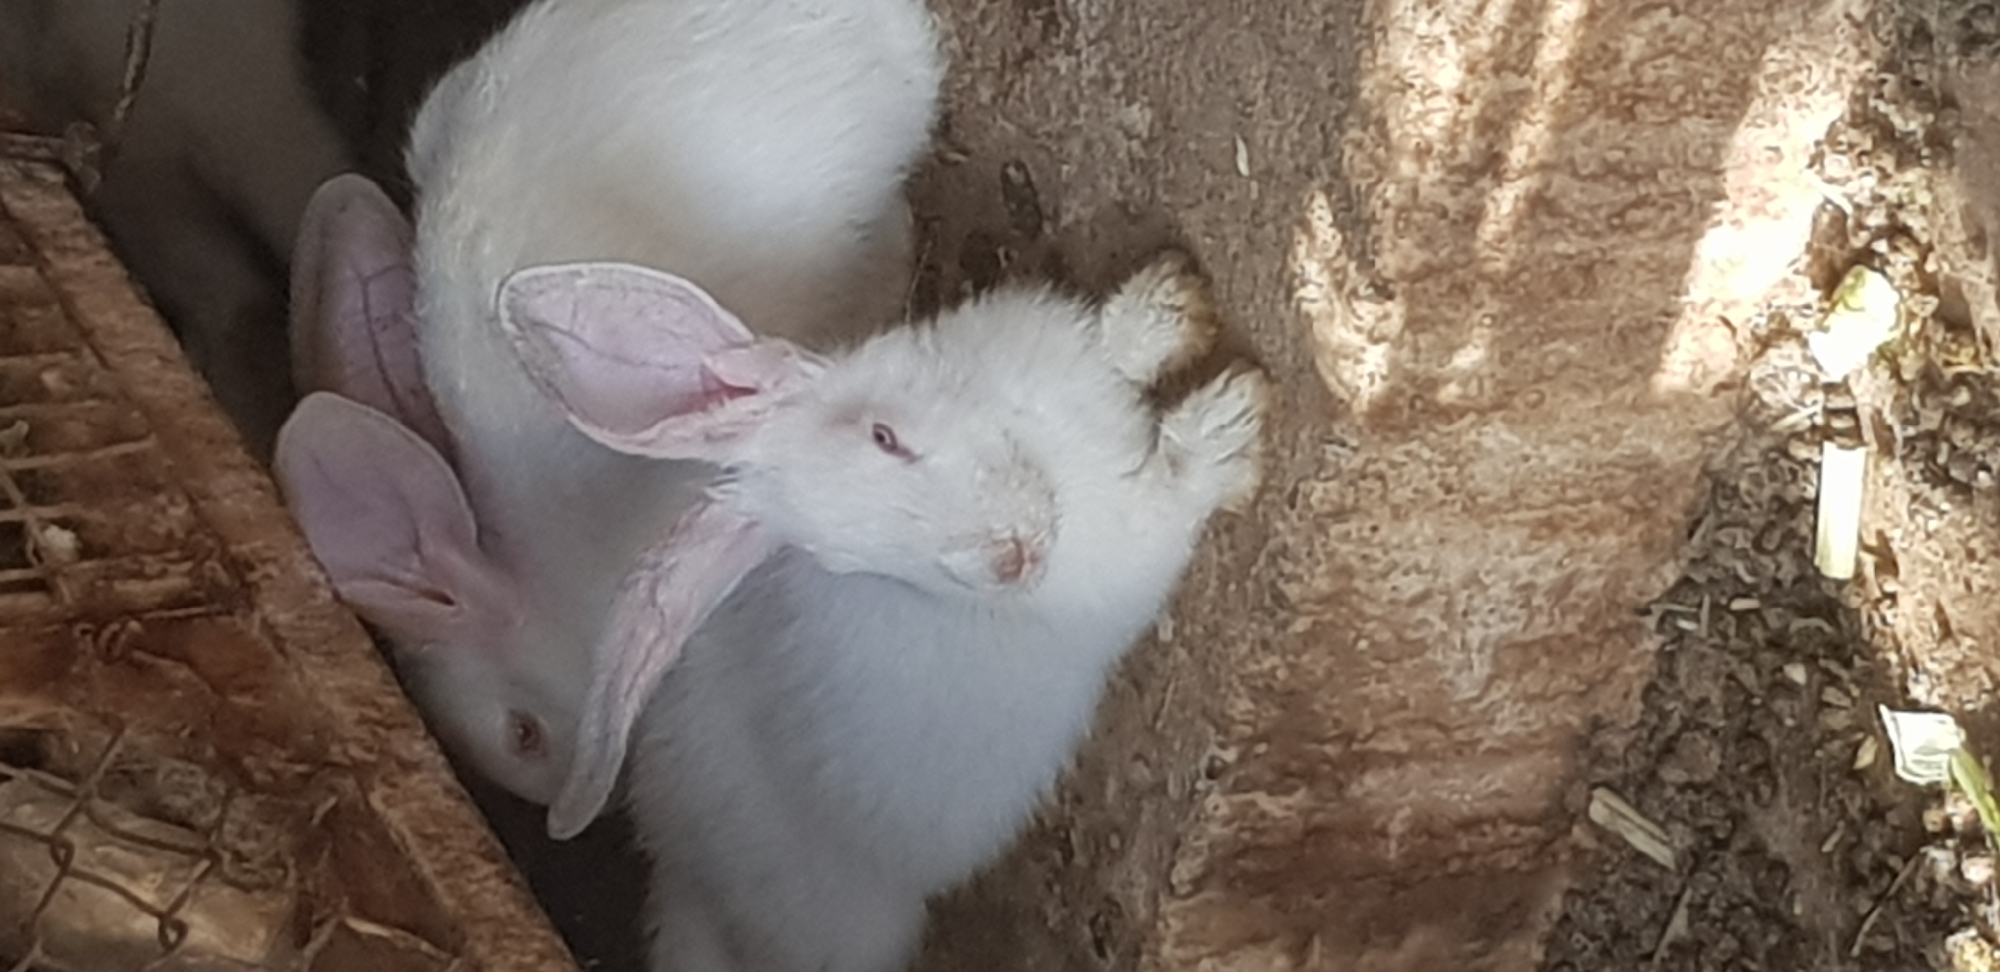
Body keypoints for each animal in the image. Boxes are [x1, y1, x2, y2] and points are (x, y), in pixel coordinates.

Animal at [495, 248, 1270, 972]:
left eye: (884, 437)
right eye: (850, 564)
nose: (1014, 560)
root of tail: (694, 896)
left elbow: (1107, 342)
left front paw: (1168, 307)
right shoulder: (1135, 539)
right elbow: (1175, 486)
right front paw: (1230, 424)